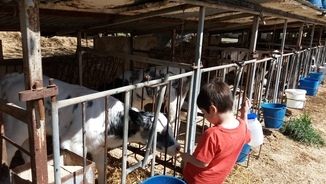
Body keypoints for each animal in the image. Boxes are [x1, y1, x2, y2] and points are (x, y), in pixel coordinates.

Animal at [0, 73, 180, 184]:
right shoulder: (74, 145)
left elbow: (101, 169)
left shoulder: (99, 148)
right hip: (16, 127)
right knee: (8, 149)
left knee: (24, 150)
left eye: (170, 129)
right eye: (159, 133)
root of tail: (11, 78)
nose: (178, 147)